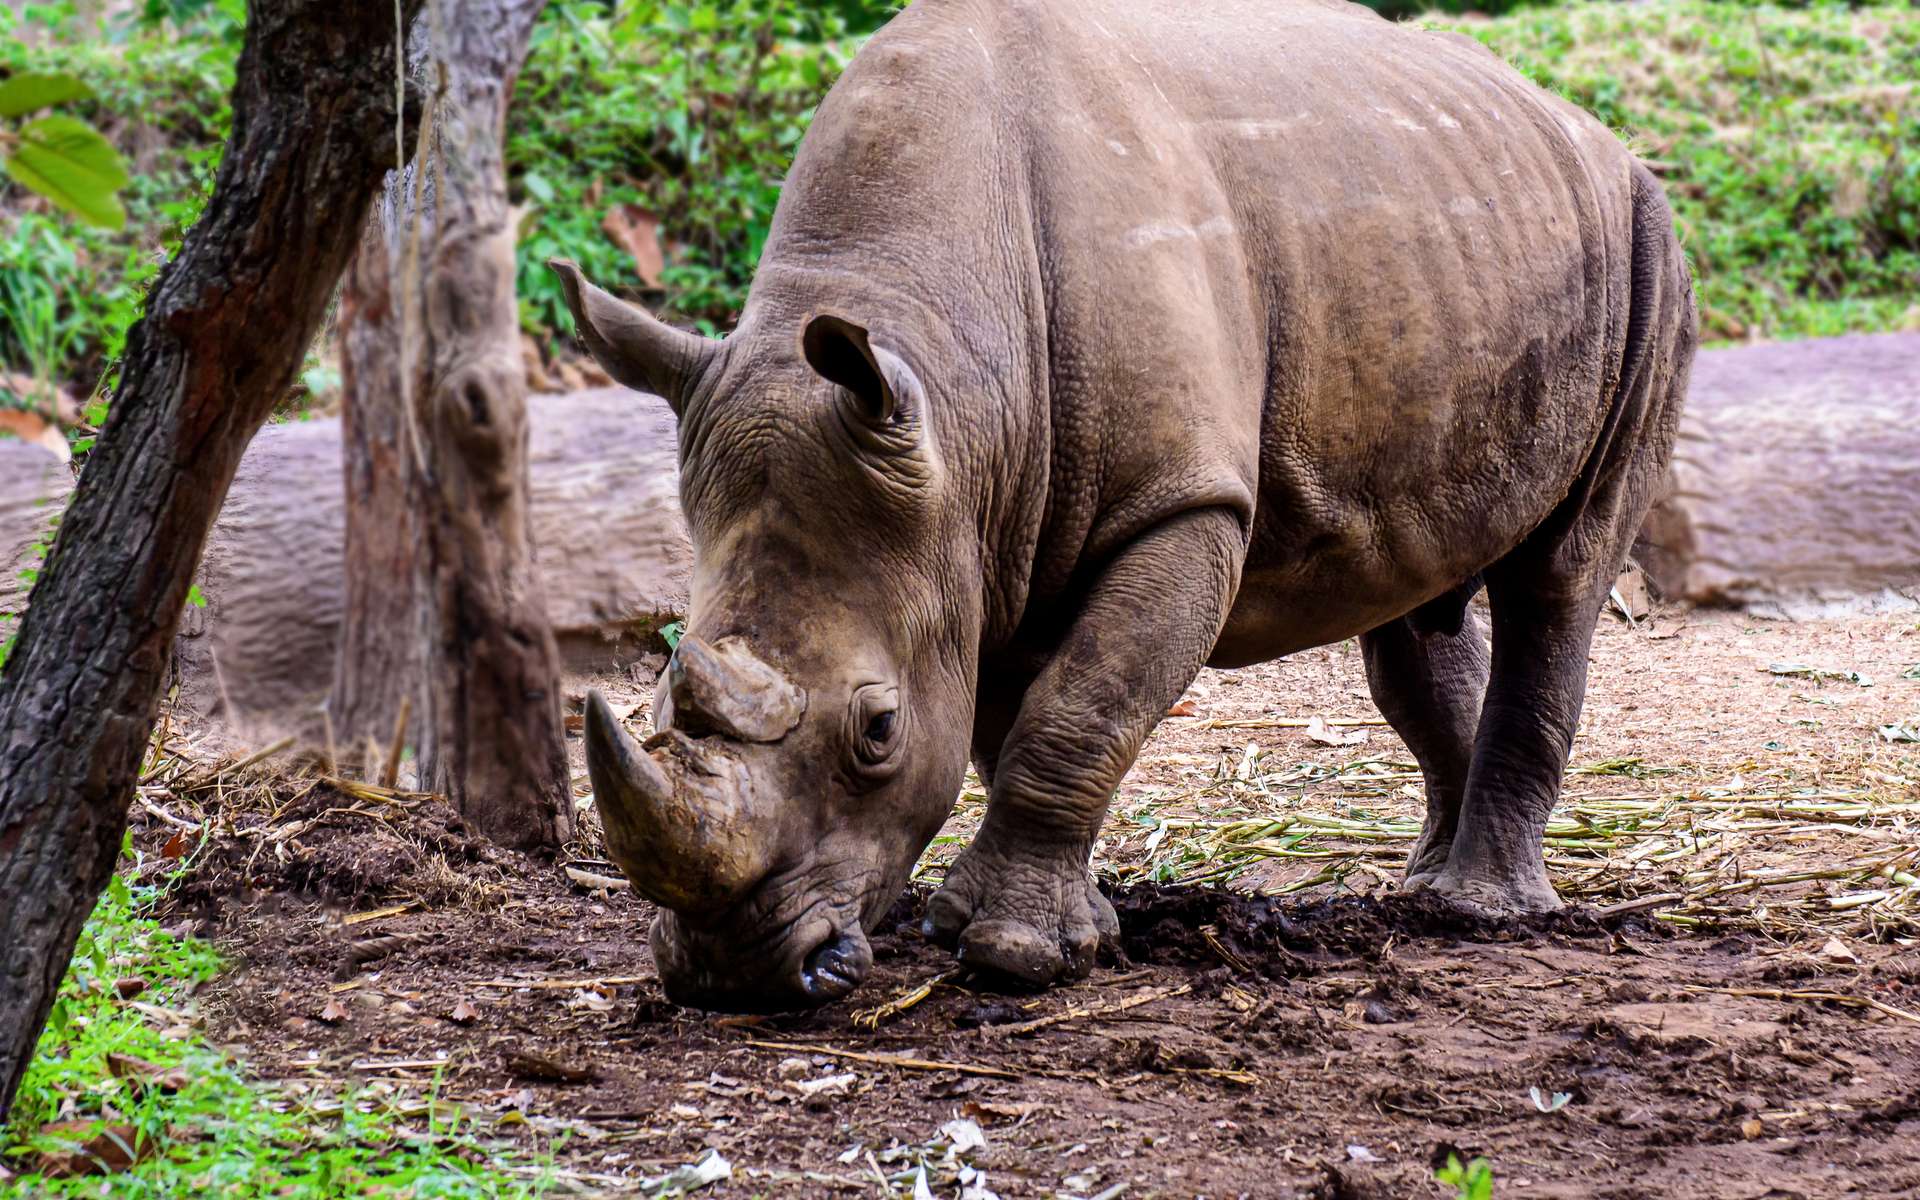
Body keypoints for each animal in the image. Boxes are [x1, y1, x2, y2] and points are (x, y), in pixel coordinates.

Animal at [550, 0, 1695, 1010]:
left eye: (877, 730)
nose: (730, 973)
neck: (949, 374)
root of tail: (1593, 134)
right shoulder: (985, 529)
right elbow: (1014, 720)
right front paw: (1069, 931)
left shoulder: (1178, 505)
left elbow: (1074, 711)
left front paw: (1009, 954)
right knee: (1411, 598)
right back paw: (1421, 889)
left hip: (1652, 248)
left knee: (1562, 574)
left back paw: (1480, 914)